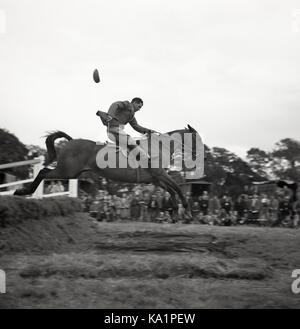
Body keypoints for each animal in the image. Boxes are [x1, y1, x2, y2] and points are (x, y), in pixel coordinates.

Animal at [15, 125, 205, 215]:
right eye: (197, 138)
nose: (202, 153)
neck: (160, 146)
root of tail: (71, 141)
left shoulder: (155, 179)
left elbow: (172, 190)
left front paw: (175, 211)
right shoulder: (160, 175)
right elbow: (177, 187)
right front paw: (186, 208)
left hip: (72, 173)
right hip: (65, 171)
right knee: (43, 173)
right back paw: (22, 191)